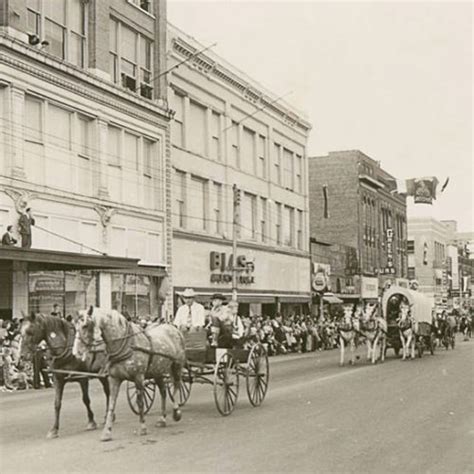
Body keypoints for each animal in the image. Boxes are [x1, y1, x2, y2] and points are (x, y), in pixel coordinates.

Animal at [73, 306, 186, 442]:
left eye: (85, 325)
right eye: (74, 326)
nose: (76, 352)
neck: (127, 344)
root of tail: (174, 328)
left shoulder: (139, 377)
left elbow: (140, 402)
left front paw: (142, 427)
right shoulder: (114, 379)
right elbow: (111, 404)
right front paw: (107, 432)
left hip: (177, 365)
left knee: (177, 384)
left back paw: (176, 412)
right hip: (157, 371)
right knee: (163, 392)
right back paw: (162, 419)